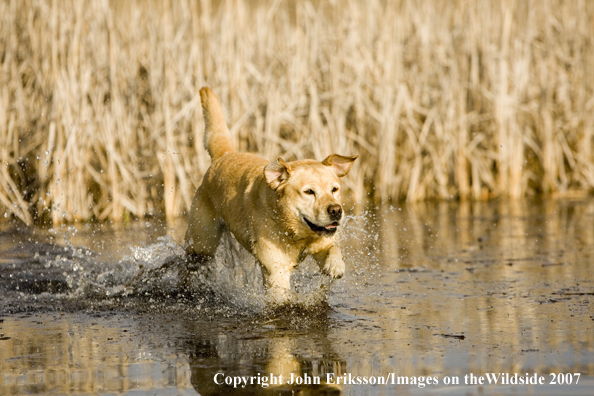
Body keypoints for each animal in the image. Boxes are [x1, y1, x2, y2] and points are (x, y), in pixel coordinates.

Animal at [184, 86, 356, 302]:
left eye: (335, 189)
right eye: (309, 192)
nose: (336, 210)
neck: (292, 230)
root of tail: (224, 155)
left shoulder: (321, 242)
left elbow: (334, 248)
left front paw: (335, 265)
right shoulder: (275, 271)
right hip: (202, 243)